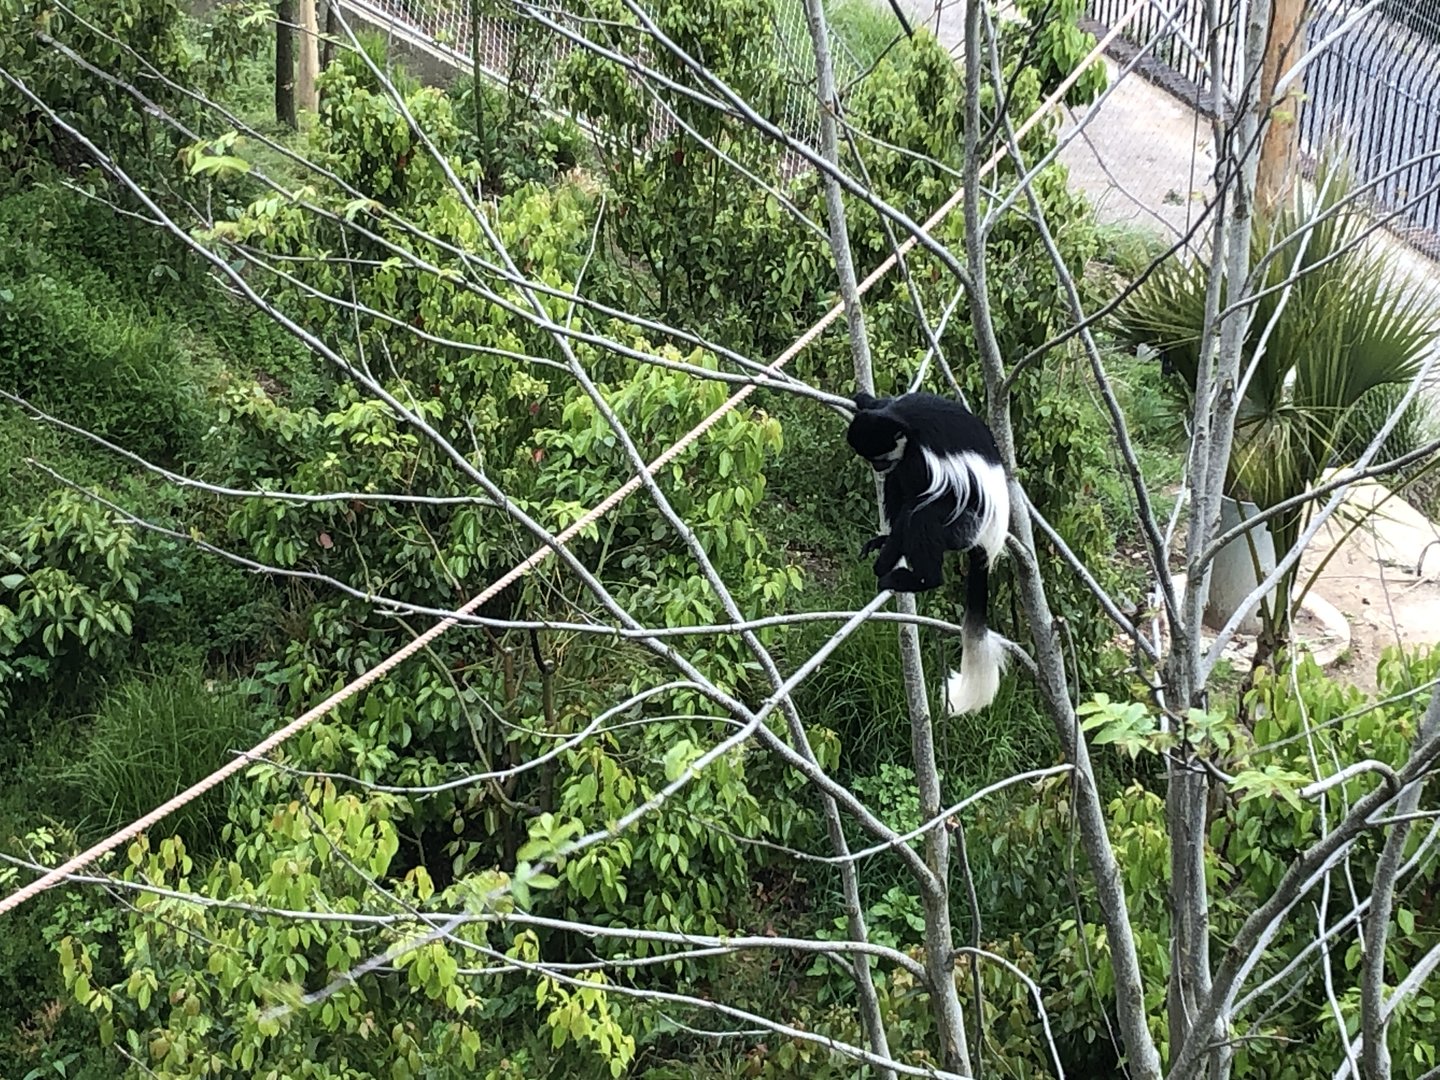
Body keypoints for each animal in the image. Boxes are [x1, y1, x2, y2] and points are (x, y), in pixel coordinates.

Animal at [845, 390, 1011, 715]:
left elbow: (918, 500)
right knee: (898, 485)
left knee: (923, 514)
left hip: (963, 526)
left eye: (880, 457)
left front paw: (884, 564)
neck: (904, 421)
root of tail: (987, 542)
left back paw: (918, 577)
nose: (878, 468)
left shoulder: (921, 457)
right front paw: (863, 397)